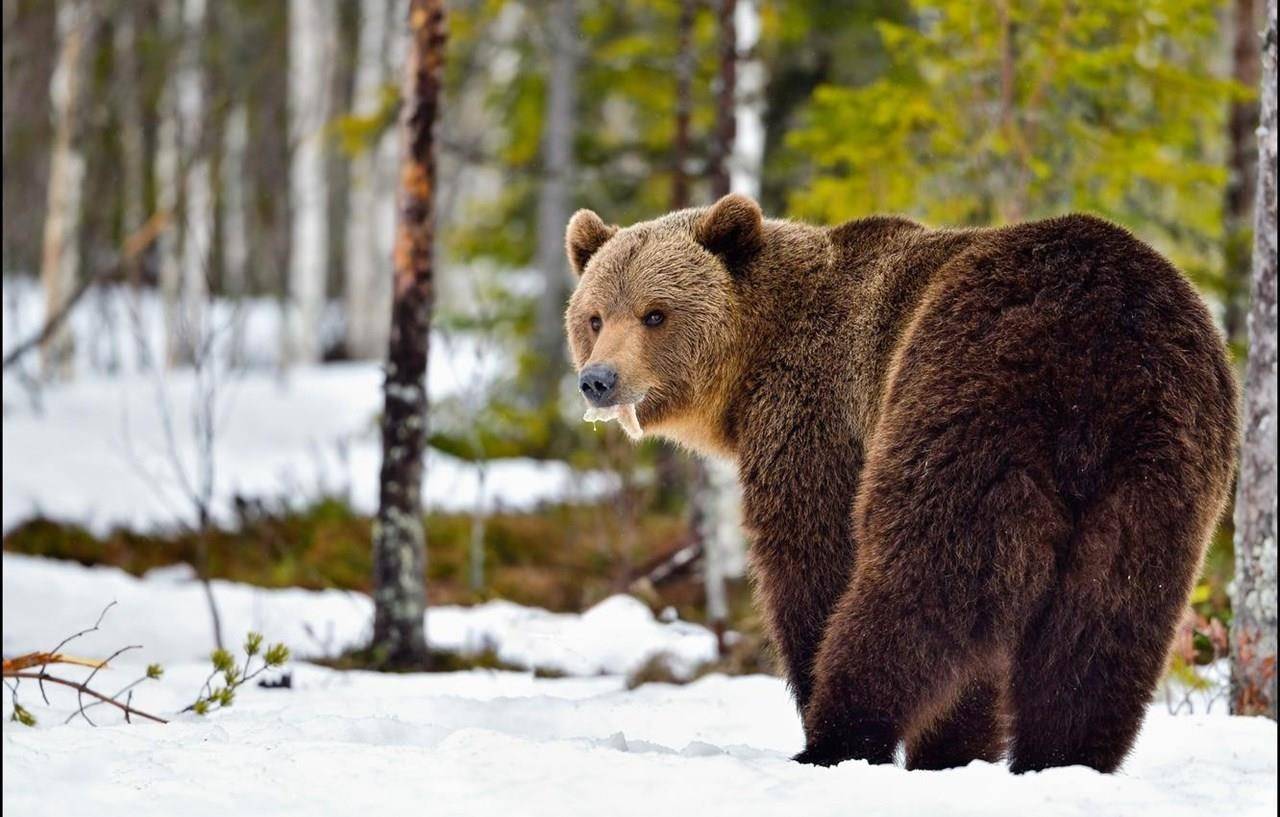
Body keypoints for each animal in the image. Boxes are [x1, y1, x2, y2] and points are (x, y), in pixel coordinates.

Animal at [563, 192, 1239, 773]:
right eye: (594, 317)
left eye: (655, 313)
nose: (598, 380)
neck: (750, 369)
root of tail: (1103, 339)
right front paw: (958, 750)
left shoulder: (819, 418)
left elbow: (813, 564)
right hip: (1165, 456)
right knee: (1111, 615)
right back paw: (1064, 758)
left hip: (964, 393)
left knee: (923, 582)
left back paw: (836, 739)